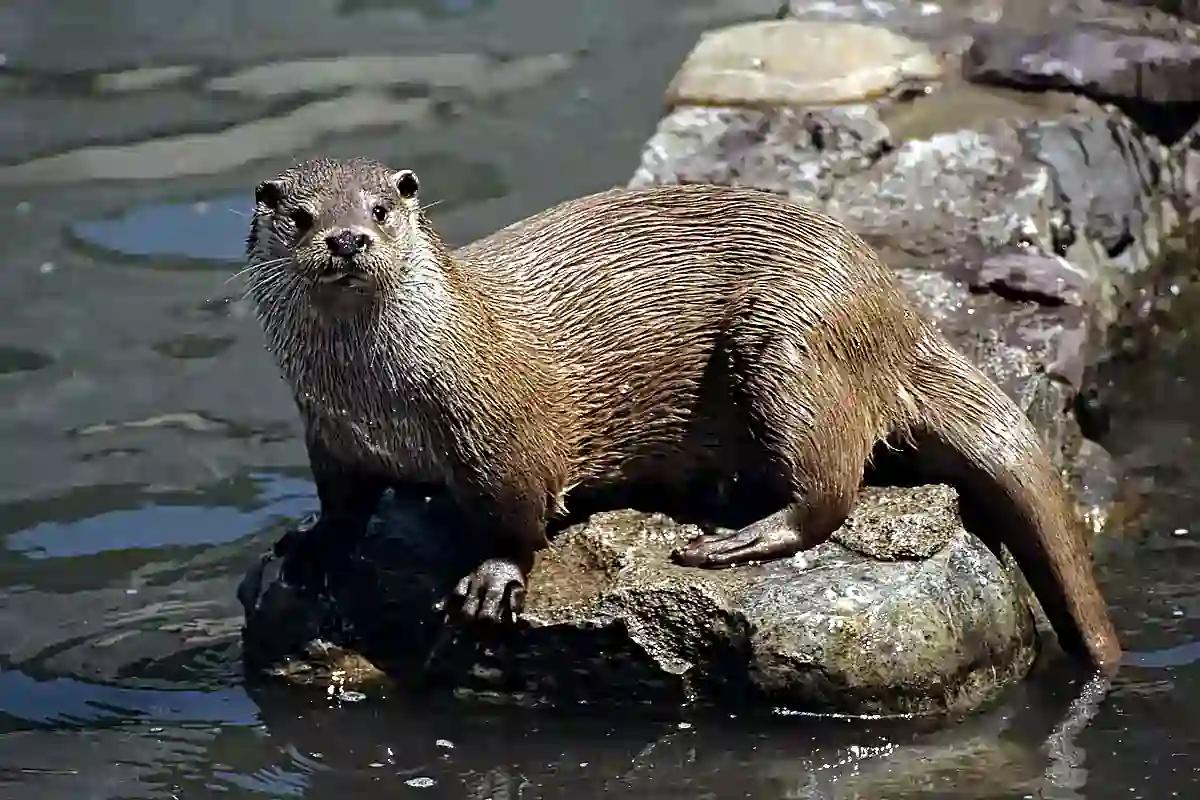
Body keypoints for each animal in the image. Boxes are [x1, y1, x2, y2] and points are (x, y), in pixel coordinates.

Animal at [243, 157, 1121, 674]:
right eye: (301, 216)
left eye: (382, 208)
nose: (347, 239)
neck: (381, 395)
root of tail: (898, 309)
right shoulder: (328, 432)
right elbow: (342, 502)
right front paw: (312, 545)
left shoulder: (503, 435)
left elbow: (518, 515)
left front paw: (493, 579)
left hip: (792, 342)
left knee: (833, 484)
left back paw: (738, 539)